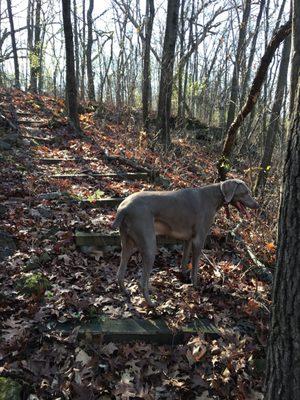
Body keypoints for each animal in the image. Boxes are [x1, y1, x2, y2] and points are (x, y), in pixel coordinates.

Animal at [113, 178, 260, 306]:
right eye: (245, 192)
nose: (257, 205)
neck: (213, 196)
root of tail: (123, 208)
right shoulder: (199, 240)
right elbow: (195, 267)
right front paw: (195, 285)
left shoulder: (188, 240)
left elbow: (184, 261)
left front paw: (183, 277)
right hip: (149, 245)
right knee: (142, 282)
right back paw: (151, 304)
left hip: (128, 243)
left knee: (120, 272)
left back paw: (125, 291)